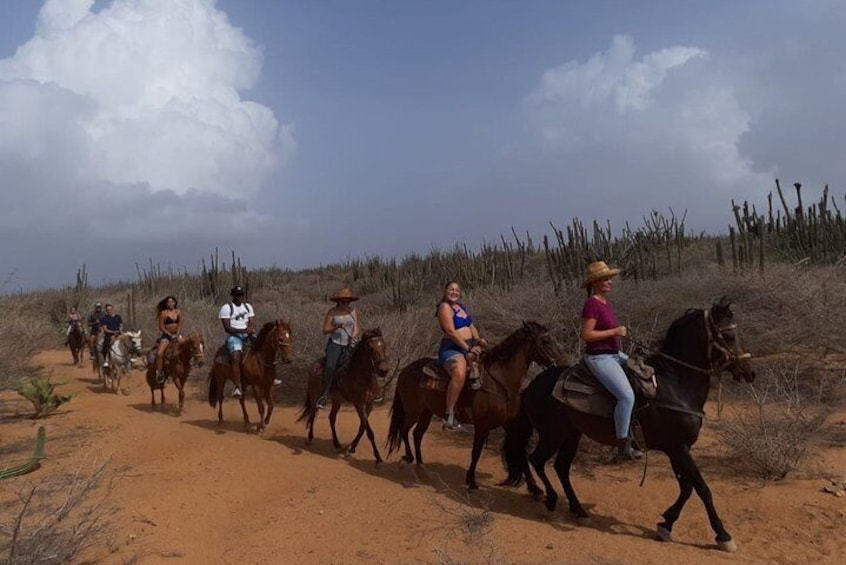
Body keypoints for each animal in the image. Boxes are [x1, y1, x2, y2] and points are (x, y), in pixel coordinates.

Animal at [298, 328, 390, 460]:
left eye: (384, 346)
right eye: (371, 348)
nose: (384, 370)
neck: (362, 376)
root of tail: (313, 365)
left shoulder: (370, 404)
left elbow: (362, 427)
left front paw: (351, 449)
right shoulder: (358, 403)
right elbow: (369, 430)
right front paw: (377, 456)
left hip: (337, 400)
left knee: (331, 417)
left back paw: (336, 443)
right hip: (315, 396)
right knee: (313, 414)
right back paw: (310, 438)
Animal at [386, 322, 564, 490]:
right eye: (545, 341)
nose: (560, 362)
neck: (500, 382)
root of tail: (405, 370)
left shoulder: (508, 424)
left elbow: (519, 452)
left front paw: (534, 489)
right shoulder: (482, 425)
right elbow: (476, 452)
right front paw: (471, 481)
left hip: (426, 412)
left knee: (417, 434)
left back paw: (421, 468)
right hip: (413, 410)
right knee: (405, 430)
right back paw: (409, 458)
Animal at [500, 300, 760, 552]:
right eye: (727, 336)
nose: (750, 373)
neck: (675, 387)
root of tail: (531, 386)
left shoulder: (676, 449)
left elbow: (686, 488)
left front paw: (666, 523)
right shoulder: (679, 448)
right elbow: (702, 489)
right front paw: (723, 535)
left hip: (572, 435)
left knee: (561, 467)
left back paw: (578, 510)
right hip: (552, 434)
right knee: (537, 460)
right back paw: (551, 499)